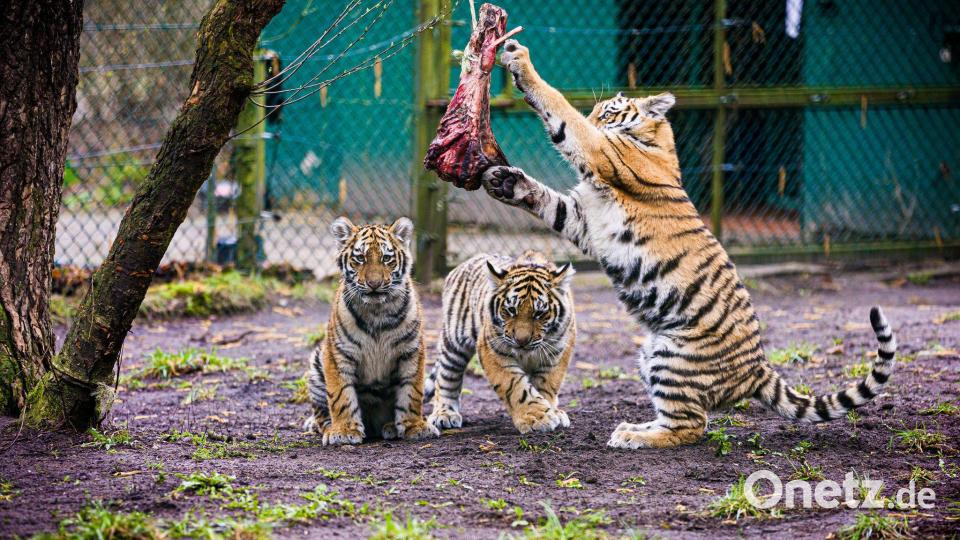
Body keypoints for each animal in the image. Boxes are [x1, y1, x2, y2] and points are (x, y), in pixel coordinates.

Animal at [304, 216, 439, 445]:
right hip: (316, 363)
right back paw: (324, 425)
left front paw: (415, 426)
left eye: (386, 258)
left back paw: (391, 426)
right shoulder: (338, 353)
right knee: (321, 413)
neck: (377, 311)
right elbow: (341, 395)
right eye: (359, 258)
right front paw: (344, 431)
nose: (374, 284)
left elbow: (412, 392)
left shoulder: (412, 351)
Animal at [424, 250, 576, 434]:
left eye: (539, 313)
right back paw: (445, 414)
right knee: (446, 377)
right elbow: (516, 386)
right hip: (454, 343)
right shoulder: (492, 349)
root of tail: (463, 264)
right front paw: (536, 417)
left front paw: (551, 411)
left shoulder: (558, 351)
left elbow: (547, 385)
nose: (522, 340)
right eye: (511, 310)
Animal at [477, 39, 898, 449]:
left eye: (608, 114)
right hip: (652, 352)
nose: (598, 117)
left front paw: (520, 60)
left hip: (672, 358)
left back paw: (631, 436)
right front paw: (506, 182)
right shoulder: (583, 219)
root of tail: (758, 368)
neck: (656, 142)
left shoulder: (600, 154)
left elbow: (559, 107)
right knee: (688, 418)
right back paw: (634, 427)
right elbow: (548, 200)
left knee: (691, 427)